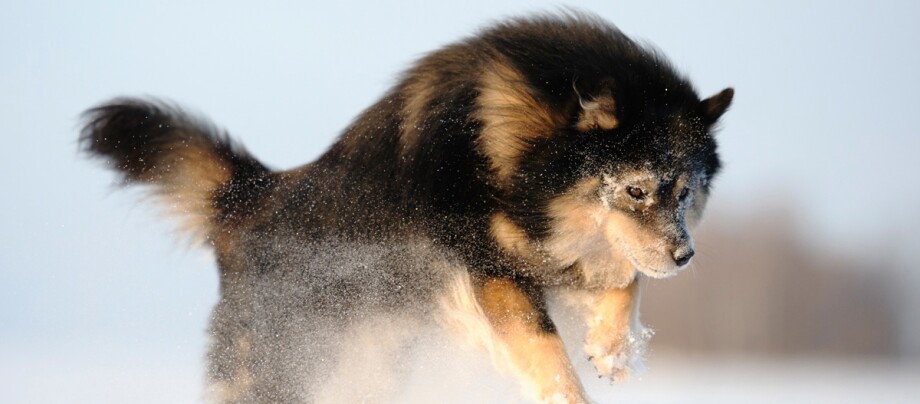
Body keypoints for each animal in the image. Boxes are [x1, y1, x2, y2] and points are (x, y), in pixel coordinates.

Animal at [82, 12, 736, 404]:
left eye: (684, 192)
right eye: (636, 189)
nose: (686, 256)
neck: (508, 146)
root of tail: (250, 198)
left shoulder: (568, 251)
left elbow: (627, 277)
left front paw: (613, 348)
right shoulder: (489, 269)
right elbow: (549, 350)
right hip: (287, 359)